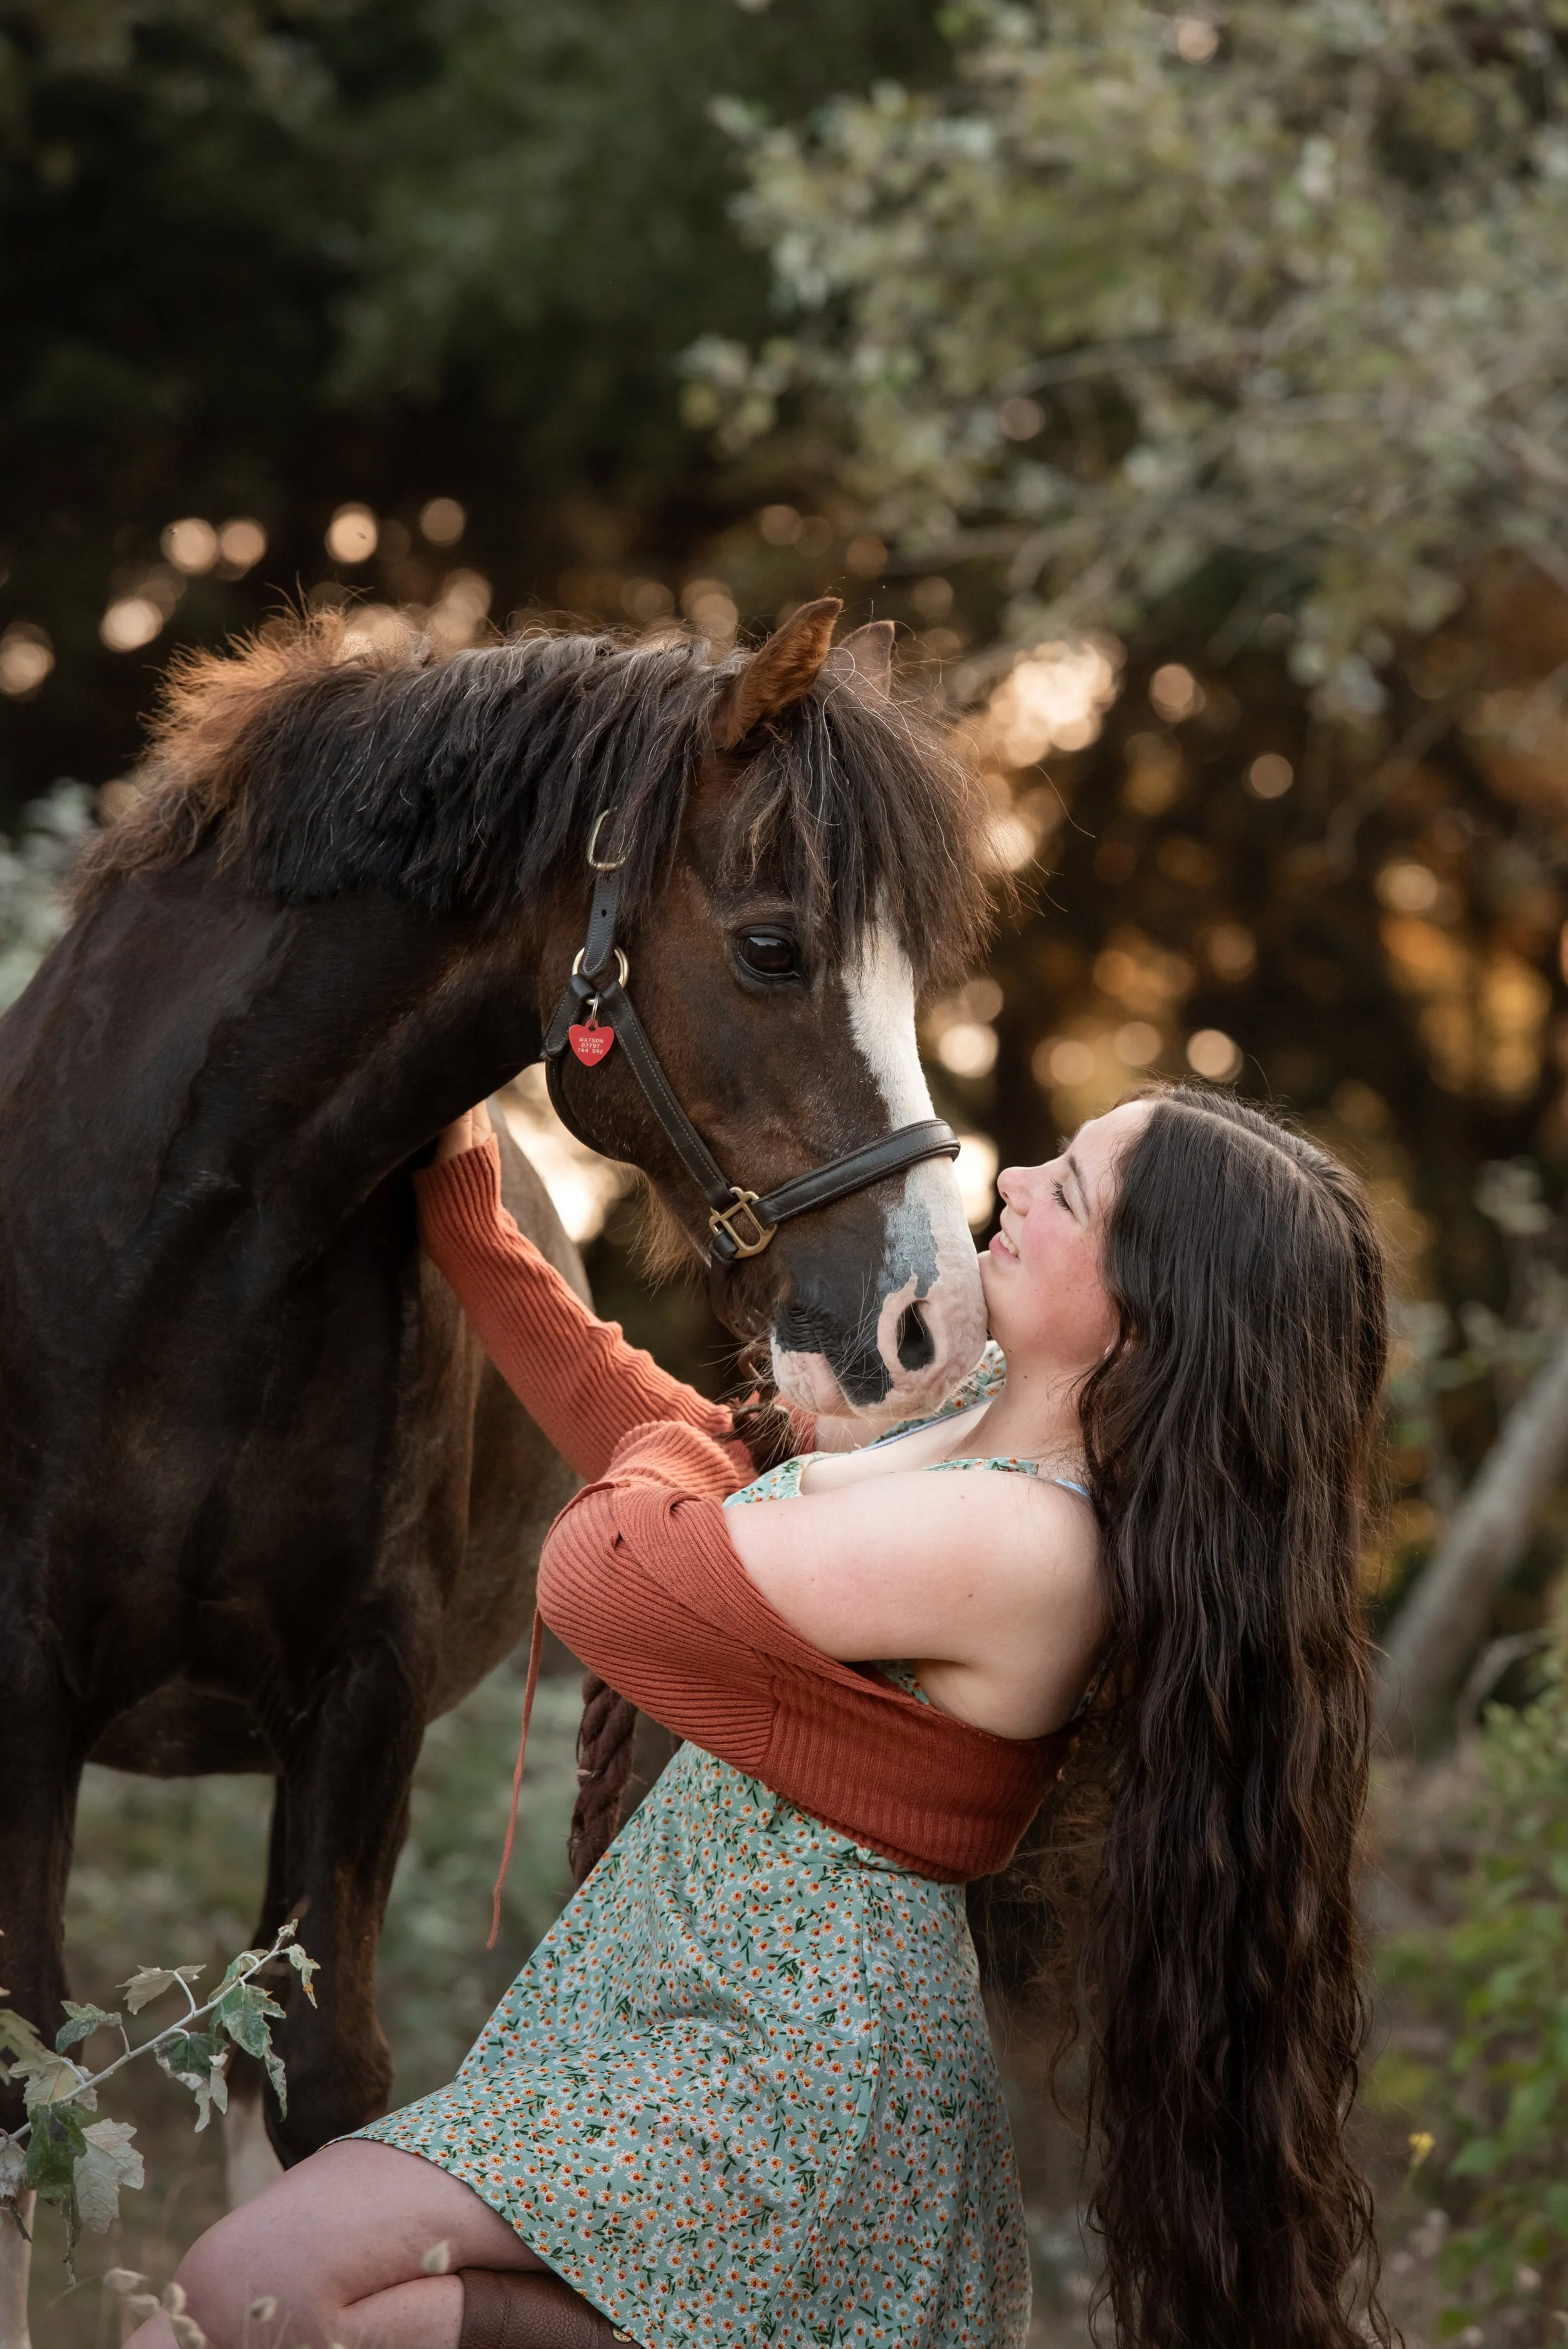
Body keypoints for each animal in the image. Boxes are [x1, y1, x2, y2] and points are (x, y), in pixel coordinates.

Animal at [0, 595, 992, 2339]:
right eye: (772, 947)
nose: (927, 1321)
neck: (197, 1235)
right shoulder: (23, 1678)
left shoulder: (362, 1692)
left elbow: (321, 2078)